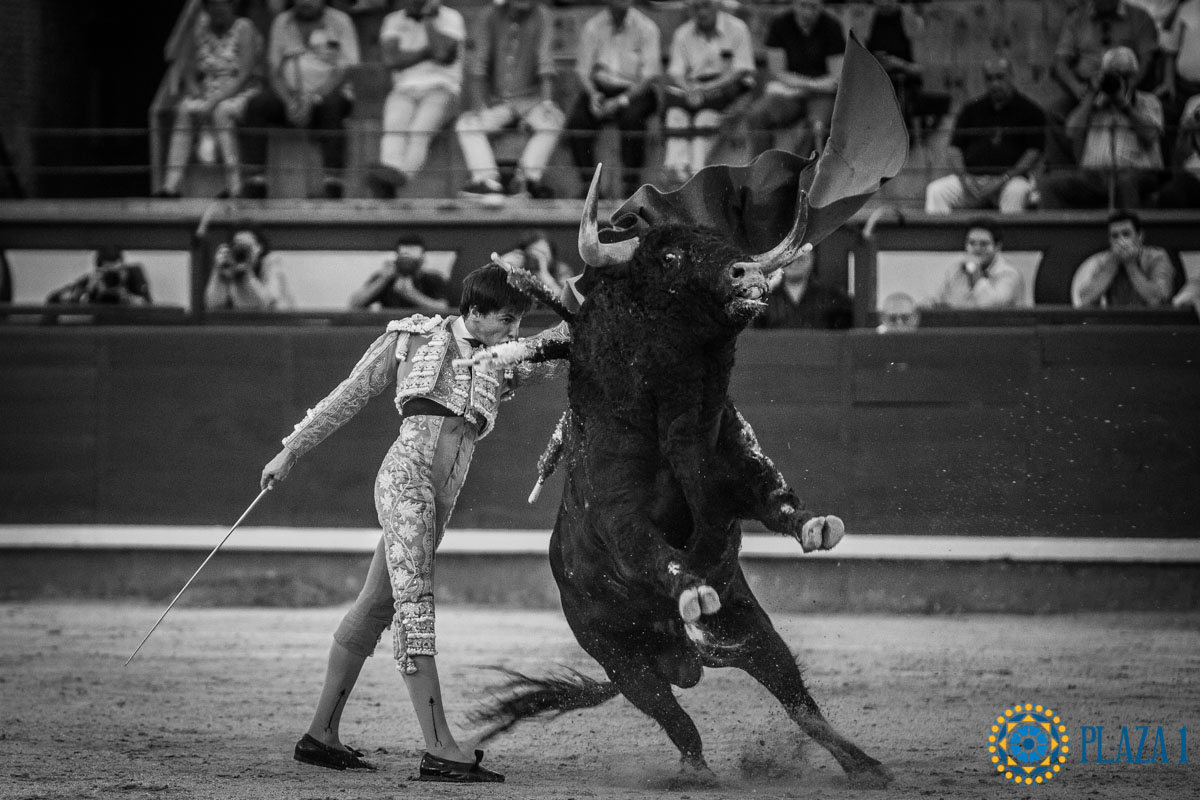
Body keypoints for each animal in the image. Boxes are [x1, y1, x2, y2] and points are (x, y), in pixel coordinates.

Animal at [468, 37, 907, 788]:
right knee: (679, 724)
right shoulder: (621, 521)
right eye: (671, 254)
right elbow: (652, 550)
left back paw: (863, 763)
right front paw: (692, 591)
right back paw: (698, 766)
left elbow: (776, 498)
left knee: (798, 702)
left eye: (725, 244)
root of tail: (684, 656)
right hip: (624, 662)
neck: (676, 417)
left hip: (756, 630)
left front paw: (819, 528)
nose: (749, 274)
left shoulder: (737, 473)